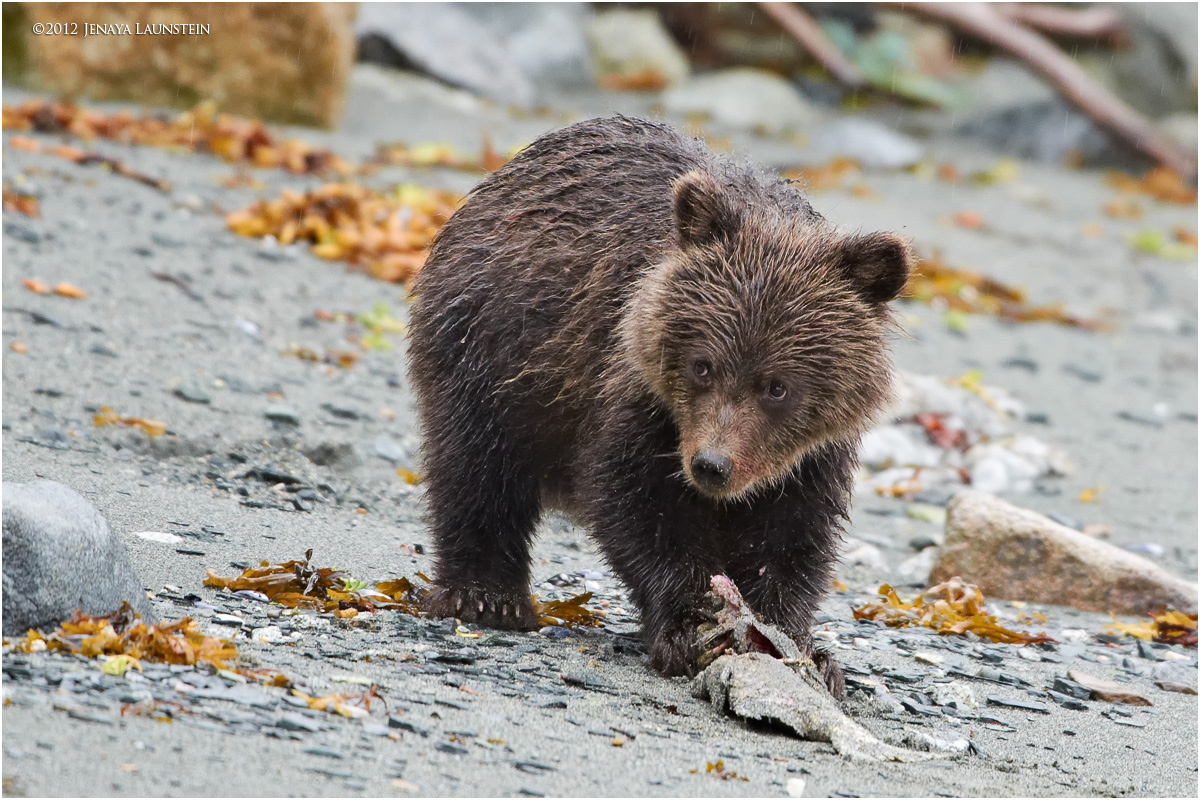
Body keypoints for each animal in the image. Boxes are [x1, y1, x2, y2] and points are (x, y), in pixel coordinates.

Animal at [407, 116, 912, 696]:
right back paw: (487, 597)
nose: (712, 466)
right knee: (476, 466)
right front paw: (690, 626)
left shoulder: (808, 457)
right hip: (491, 346)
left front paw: (800, 646)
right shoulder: (635, 392)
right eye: (703, 365)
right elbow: (639, 504)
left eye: (777, 386)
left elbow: (792, 537)